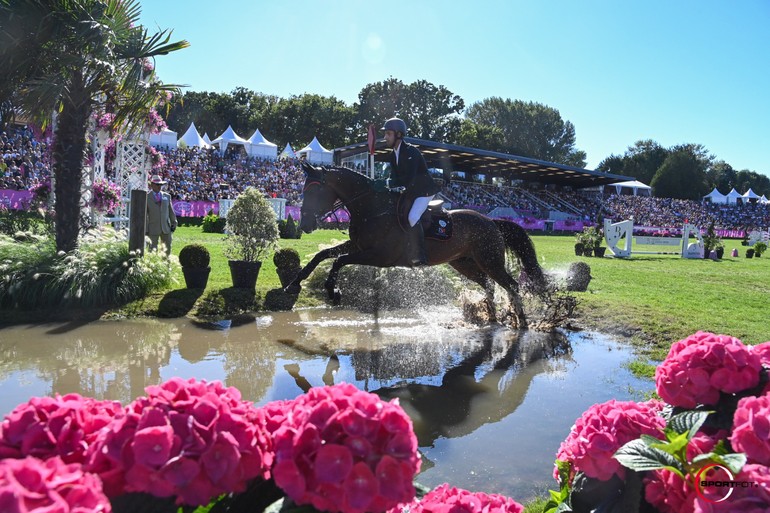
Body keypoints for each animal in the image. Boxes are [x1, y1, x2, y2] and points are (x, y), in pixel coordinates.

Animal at [284, 161, 544, 328]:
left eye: (315, 191)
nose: (305, 224)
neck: (371, 208)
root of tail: (491, 221)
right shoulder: (357, 246)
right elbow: (323, 255)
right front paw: (294, 283)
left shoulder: (379, 255)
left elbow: (339, 260)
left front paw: (333, 291)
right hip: (463, 262)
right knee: (489, 284)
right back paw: (491, 318)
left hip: (489, 260)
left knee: (511, 285)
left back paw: (521, 322)